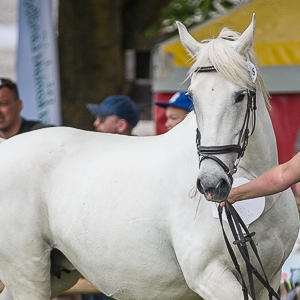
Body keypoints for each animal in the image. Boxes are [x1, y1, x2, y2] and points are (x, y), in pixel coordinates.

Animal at [0, 14, 298, 300]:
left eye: (239, 96)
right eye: (192, 96)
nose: (211, 184)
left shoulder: (267, 279)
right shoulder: (210, 277)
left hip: (55, 273)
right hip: (28, 273)